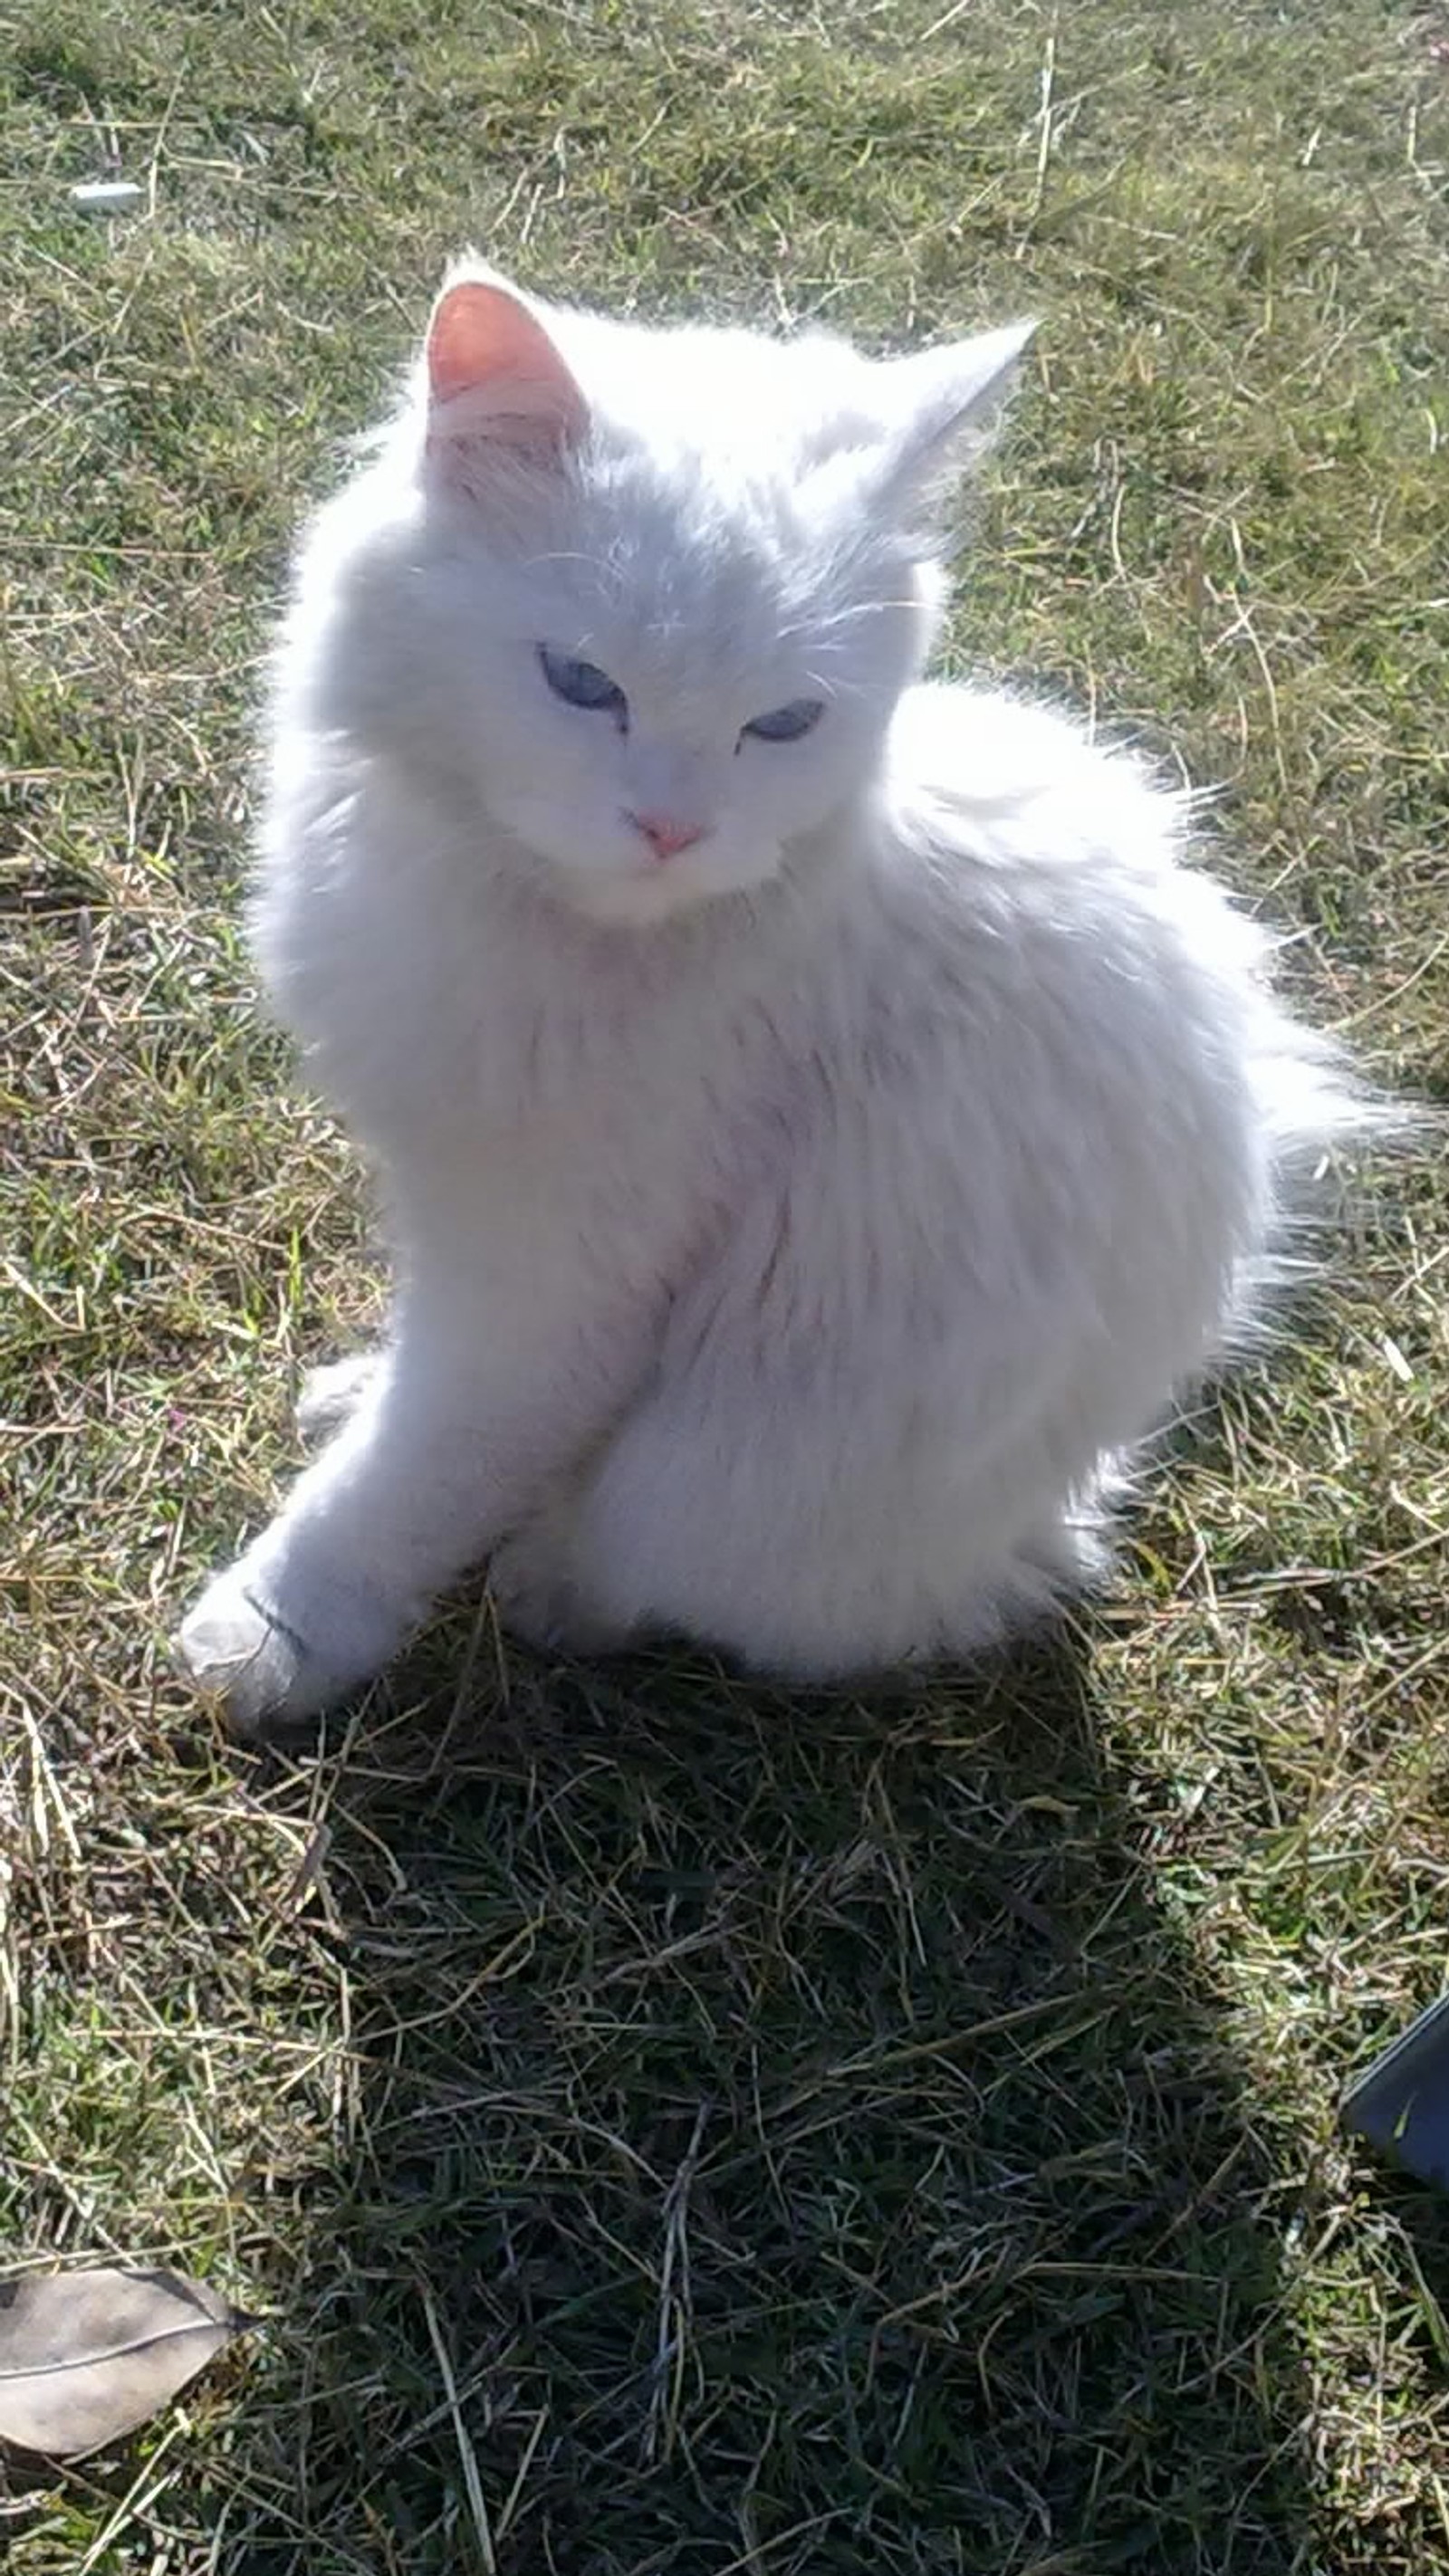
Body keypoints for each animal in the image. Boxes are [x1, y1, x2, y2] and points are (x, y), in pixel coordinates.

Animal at [175, 256, 1361, 1730]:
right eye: (582, 683)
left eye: (783, 723)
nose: (672, 828)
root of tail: (1069, 1509)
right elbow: (417, 1400)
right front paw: (352, 1418)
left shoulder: (560, 1273)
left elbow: (416, 1475)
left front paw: (280, 1632)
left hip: (737, 1481)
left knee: (676, 1580)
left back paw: (548, 1588)